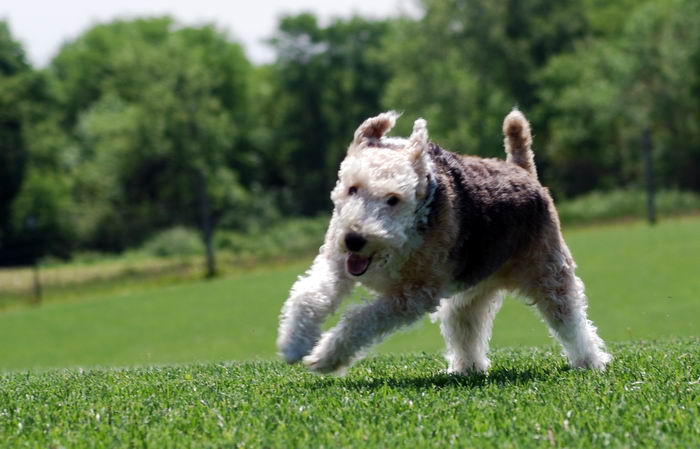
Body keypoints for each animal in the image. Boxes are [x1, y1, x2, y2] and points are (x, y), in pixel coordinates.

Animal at [276, 110, 608, 372]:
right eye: (352, 188)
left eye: (393, 199)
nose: (354, 239)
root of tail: (523, 171)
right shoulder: (336, 263)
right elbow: (309, 295)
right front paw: (294, 345)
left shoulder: (412, 295)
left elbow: (360, 320)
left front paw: (324, 357)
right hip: (474, 288)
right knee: (466, 326)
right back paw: (467, 367)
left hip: (549, 274)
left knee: (573, 321)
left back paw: (591, 362)